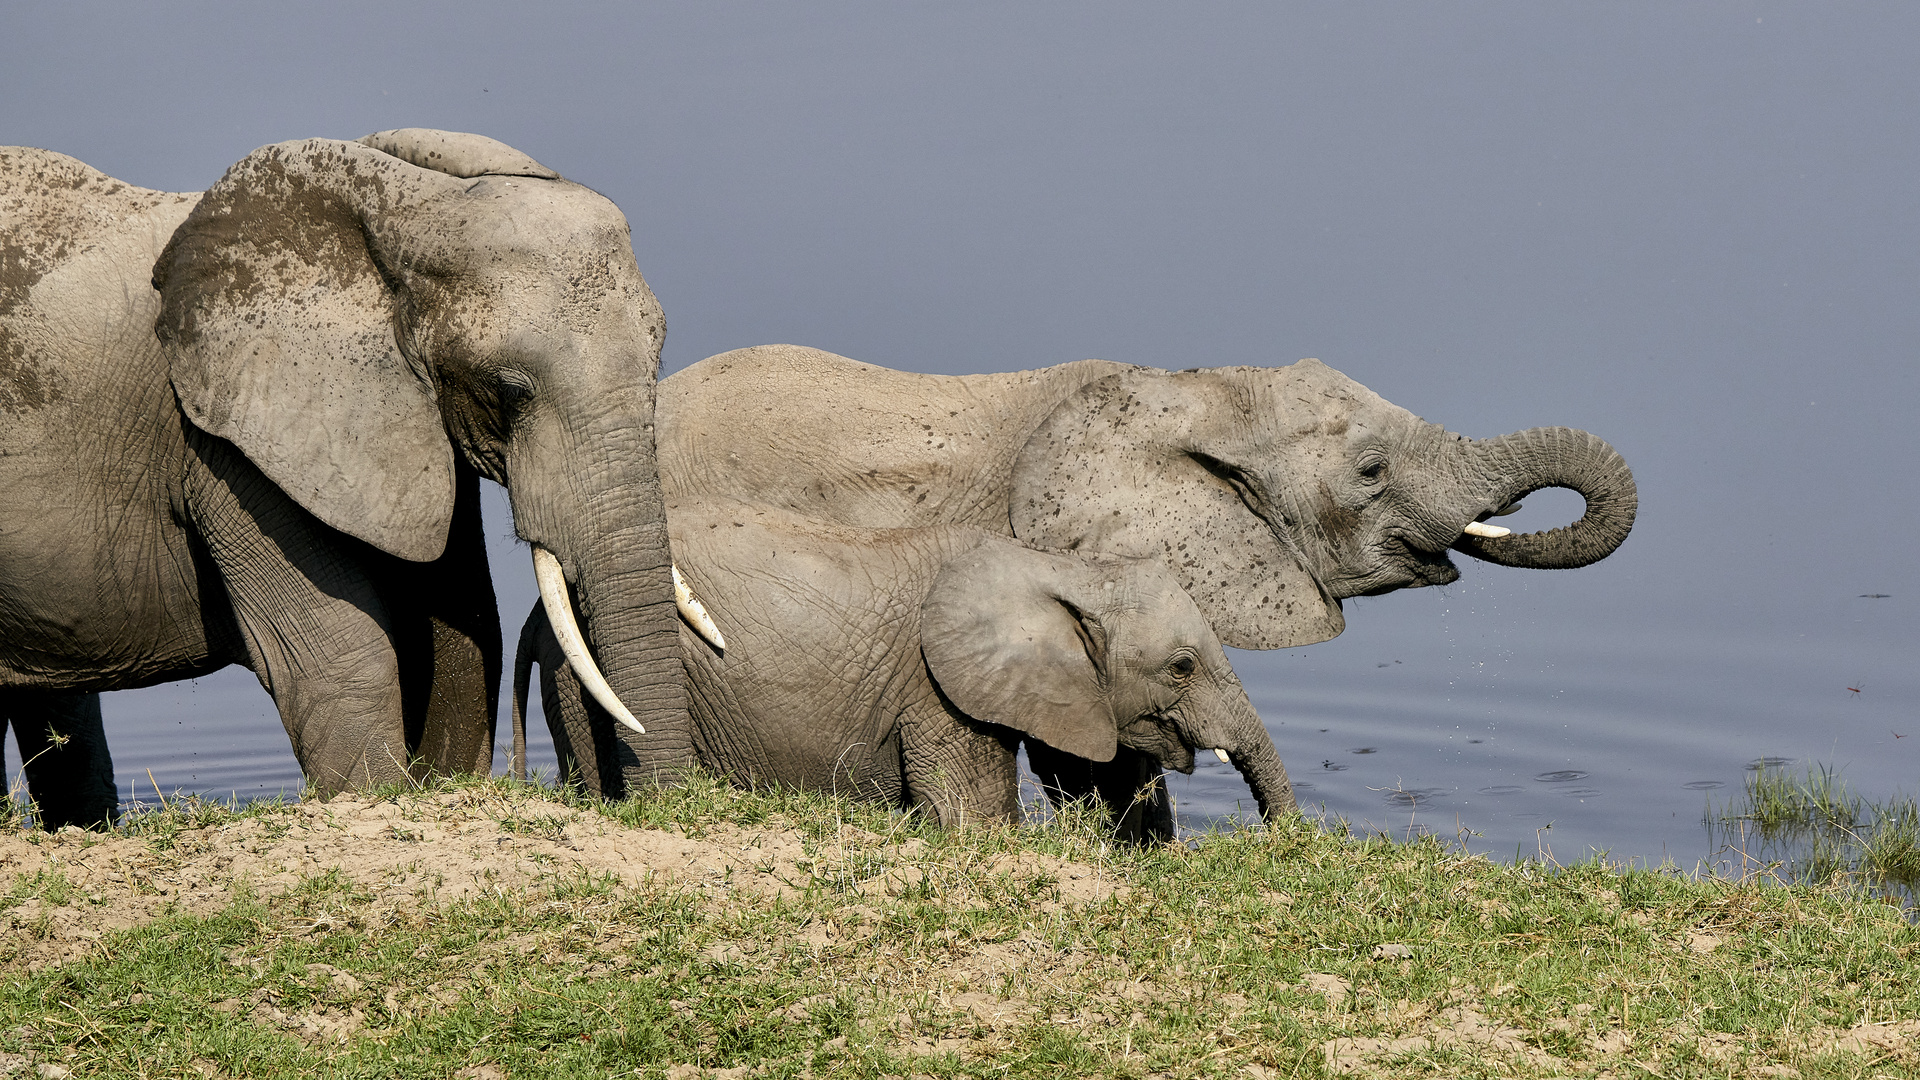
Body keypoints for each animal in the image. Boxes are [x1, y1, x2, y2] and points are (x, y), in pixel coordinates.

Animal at [0, 127, 691, 822]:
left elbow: (466, 631)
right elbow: (339, 658)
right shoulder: (227, 444)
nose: (659, 803)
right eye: (509, 390)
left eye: (658, 359)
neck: (394, 209)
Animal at [510, 499, 1297, 826]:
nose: (1285, 842)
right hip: (584, 672)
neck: (1055, 566)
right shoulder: (936, 692)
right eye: (1182, 666)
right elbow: (972, 819)